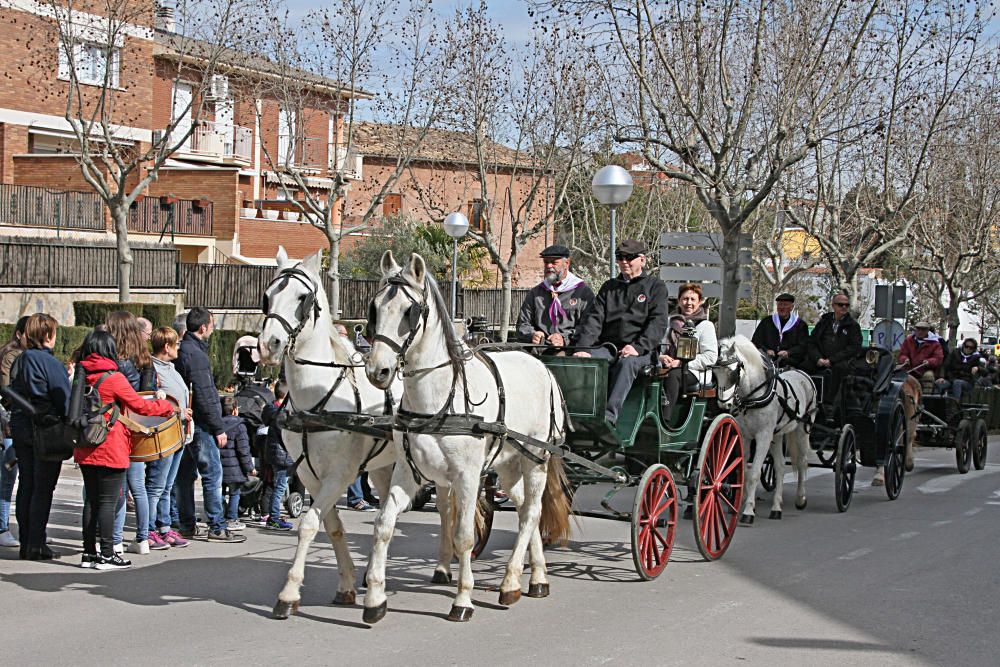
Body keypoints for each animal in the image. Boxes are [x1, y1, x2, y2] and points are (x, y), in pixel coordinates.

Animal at [262, 248, 458, 620]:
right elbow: (332, 526)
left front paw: (288, 592)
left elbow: (308, 525)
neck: (319, 395)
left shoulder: (340, 473)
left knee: (445, 509)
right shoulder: (309, 474)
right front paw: (347, 585)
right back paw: (372, 574)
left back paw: (443, 567)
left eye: (302, 298)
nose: (269, 344)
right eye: (267, 296)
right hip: (384, 464)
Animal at [366, 252, 572, 628]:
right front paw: (375, 598)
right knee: (525, 509)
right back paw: (536, 578)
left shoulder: (466, 476)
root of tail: (542, 366)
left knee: (533, 511)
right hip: (508, 464)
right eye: (374, 308)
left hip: (535, 458)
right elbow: (384, 524)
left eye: (409, 311)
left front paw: (462, 599)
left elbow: (463, 535)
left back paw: (510, 582)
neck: (439, 397)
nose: (378, 371)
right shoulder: (409, 472)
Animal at [716, 336, 816, 524]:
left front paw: (748, 511)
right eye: (715, 373)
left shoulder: (763, 436)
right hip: (776, 435)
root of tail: (802, 373)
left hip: (801, 429)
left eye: (733, 373)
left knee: (802, 462)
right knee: (780, 466)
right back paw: (776, 507)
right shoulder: (746, 436)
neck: (753, 397)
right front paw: (742, 504)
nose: (724, 403)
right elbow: (744, 471)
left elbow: (754, 473)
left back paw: (800, 498)